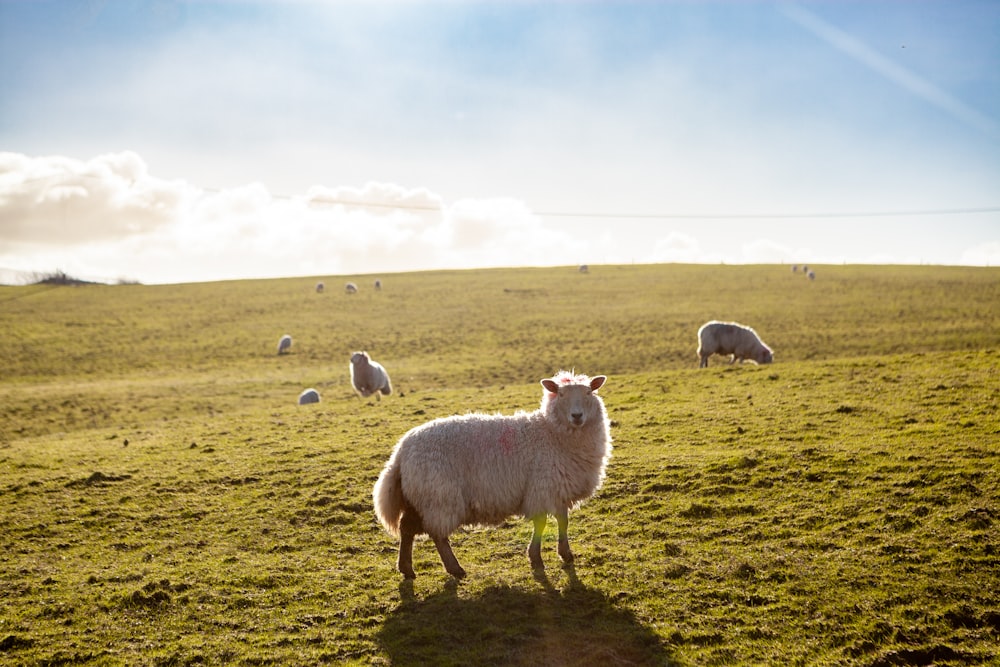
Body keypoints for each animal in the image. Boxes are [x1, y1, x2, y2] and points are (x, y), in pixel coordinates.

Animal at [374, 370, 612, 580]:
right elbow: (541, 523)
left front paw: (566, 554)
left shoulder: (559, 488)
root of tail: (401, 451)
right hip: (439, 495)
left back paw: (407, 569)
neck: (549, 432)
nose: (577, 416)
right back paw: (454, 568)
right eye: (561, 395)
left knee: (406, 529)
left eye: (589, 392)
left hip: (418, 497)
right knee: (437, 534)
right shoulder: (542, 487)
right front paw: (536, 558)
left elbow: (563, 522)